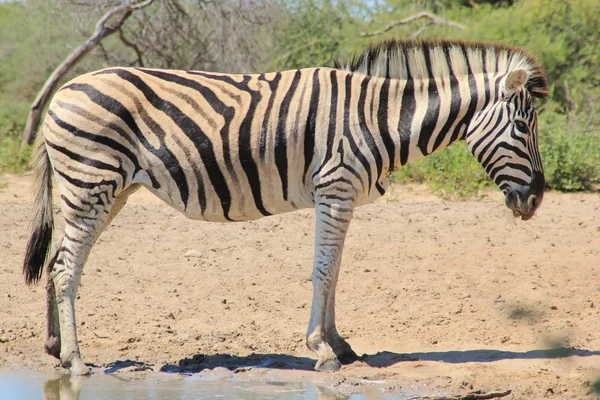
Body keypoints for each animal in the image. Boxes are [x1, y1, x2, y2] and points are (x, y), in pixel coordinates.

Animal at [23, 39, 548, 374]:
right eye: (524, 128)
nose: (537, 200)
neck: (378, 119)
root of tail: (61, 91)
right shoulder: (334, 189)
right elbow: (323, 270)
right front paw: (321, 350)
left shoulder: (343, 197)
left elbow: (335, 271)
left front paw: (340, 344)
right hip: (91, 183)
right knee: (66, 266)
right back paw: (76, 362)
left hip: (108, 190)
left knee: (58, 261)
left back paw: (55, 348)